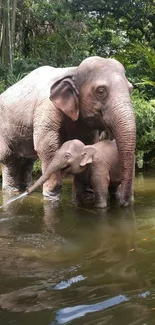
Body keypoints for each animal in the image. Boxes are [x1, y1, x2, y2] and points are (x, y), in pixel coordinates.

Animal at [0, 56, 136, 205]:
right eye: (101, 91)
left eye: (131, 89)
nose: (124, 202)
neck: (74, 70)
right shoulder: (46, 108)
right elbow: (45, 145)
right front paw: (51, 196)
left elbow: (89, 142)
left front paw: (88, 193)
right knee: (8, 158)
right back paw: (12, 191)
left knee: (27, 161)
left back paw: (24, 188)